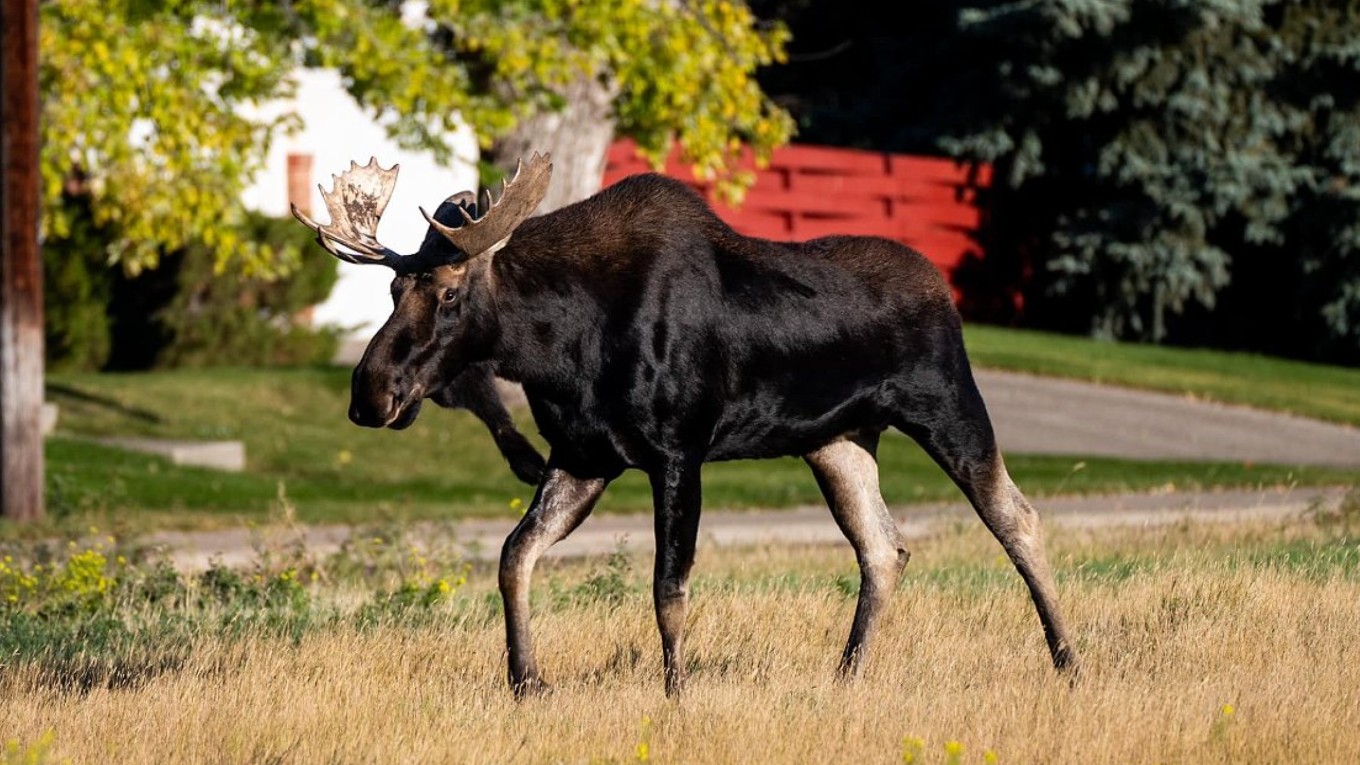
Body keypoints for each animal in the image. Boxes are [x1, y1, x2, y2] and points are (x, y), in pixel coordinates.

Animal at [293, 154, 1079, 697]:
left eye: (451, 292)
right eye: (393, 288)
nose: (371, 393)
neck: (555, 349)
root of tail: (944, 291)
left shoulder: (677, 451)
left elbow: (667, 588)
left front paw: (677, 691)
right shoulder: (583, 454)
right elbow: (514, 557)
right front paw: (526, 680)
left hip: (946, 405)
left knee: (1018, 517)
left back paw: (1069, 660)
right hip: (836, 440)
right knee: (884, 547)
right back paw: (847, 674)